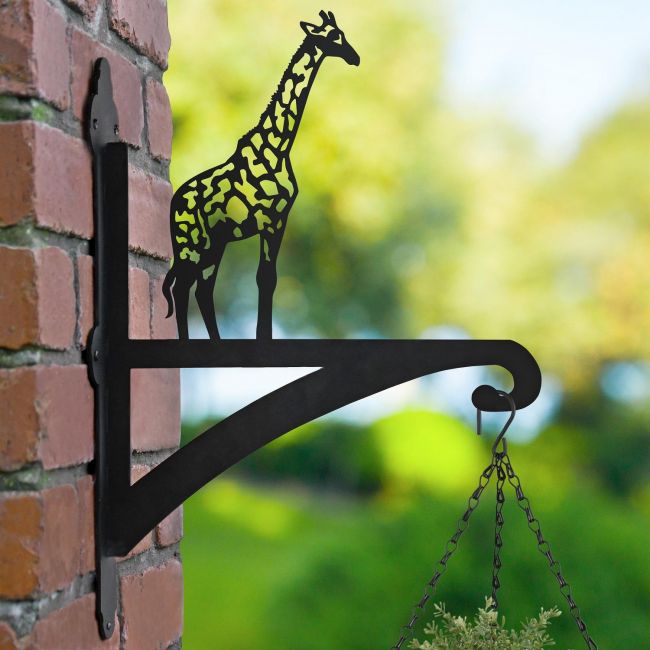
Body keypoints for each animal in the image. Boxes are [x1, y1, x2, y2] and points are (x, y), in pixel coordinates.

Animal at [162, 10, 360, 340]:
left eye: (342, 33)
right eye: (334, 37)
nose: (355, 57)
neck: (279, 147)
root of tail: (174, 203)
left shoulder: (279, 219)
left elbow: (269, 279)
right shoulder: (270, 220)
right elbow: (265, 279)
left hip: (214, 244)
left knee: (202, 288)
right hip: (191, 242)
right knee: (182, 286)